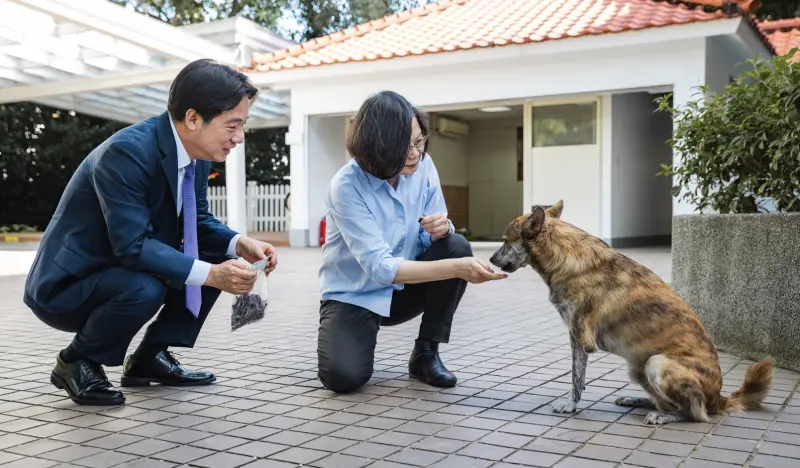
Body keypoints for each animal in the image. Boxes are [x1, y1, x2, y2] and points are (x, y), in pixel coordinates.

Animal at [490, 199, 772, 426]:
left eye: (504, 241)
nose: (491, 260)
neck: (566, 256)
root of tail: (718, 398)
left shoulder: (580, 337)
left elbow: (575, 377)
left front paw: (570, 405)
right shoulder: (576, 336)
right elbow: (578, 376)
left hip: (656, 363)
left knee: (694, 413)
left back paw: (663, 416)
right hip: (638, 368)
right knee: (666, 402)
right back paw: (638, 401)